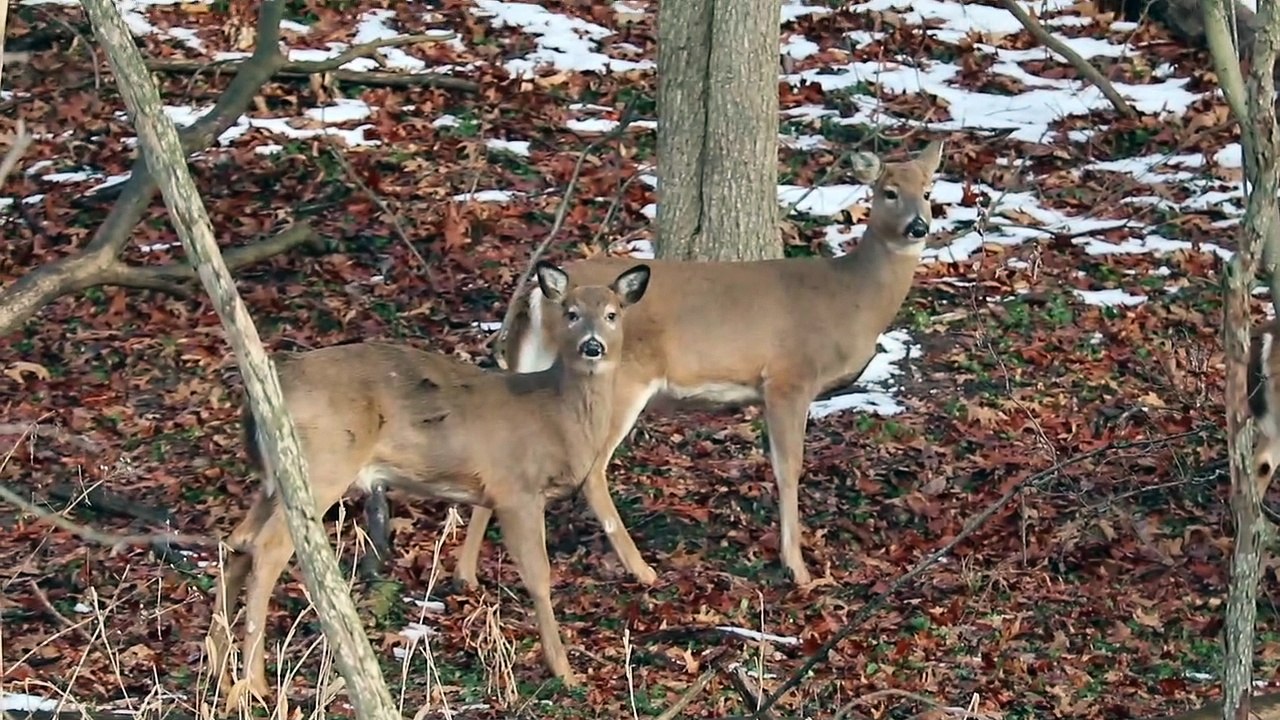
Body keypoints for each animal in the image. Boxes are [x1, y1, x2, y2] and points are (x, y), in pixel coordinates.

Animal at [205, 260, 653, 702]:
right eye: (571, 313)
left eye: (612, 313)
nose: (592, 346)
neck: (556, 417)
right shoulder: (517, 489)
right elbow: (539, 576)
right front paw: (565, 672)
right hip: (320, 464)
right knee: (268, 548)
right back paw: (255, 683)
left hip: (275, 477)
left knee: (238, 542)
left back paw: (220, 672)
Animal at [453, 140, 944, 590]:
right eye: (888, 191)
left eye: (927, 190)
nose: (919, 226)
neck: (851, 298)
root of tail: (541, 296)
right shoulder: (789, 376)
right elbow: (789, 468)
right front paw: (798, 569)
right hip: (618, 378)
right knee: (592, 470)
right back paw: (642, 570)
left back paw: (465, 575)